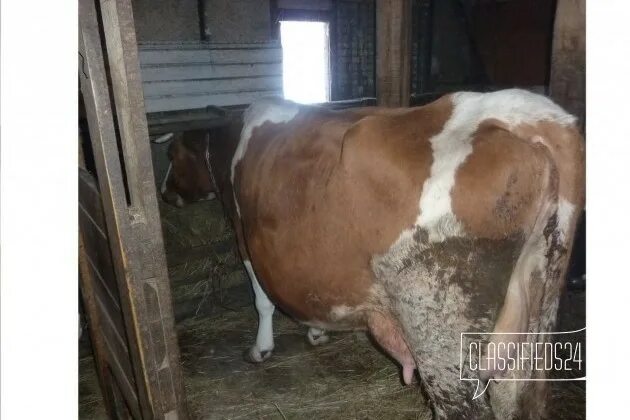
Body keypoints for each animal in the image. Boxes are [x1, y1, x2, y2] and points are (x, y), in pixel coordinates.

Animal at [162, 89, 588, 420]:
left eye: (172, 155)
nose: (165, 194)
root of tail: (521, 114)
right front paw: (316, 331)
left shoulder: (242, 233)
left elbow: (262, 298)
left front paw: (261, 348)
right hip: (534, 322)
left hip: (439, 328)